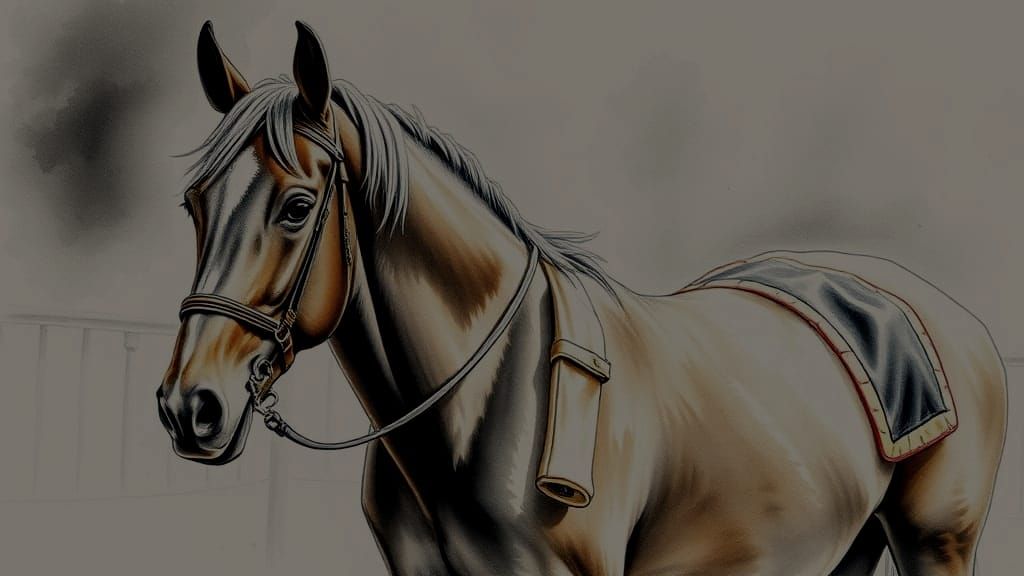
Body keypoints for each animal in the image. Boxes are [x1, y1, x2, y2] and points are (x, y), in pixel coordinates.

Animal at [156, 21, 1007, 576]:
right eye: (194, 204)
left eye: (297, 207)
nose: (189, 406)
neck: (482, 402)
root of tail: (953, 319)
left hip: (936, 543)